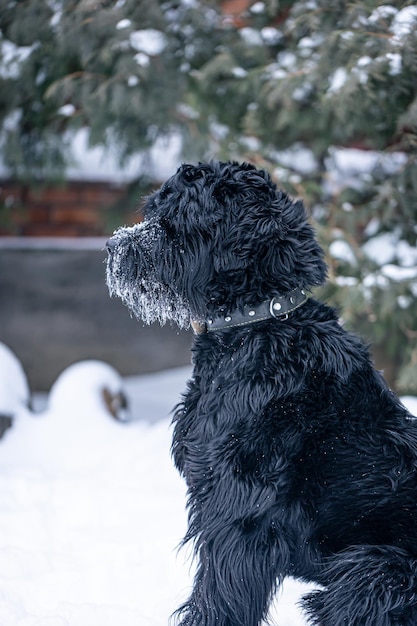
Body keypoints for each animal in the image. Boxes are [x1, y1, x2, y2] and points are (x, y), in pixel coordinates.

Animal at [105, 162, 416, 624]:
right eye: (154, 209)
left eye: (175, 218)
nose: (112, 246)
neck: (257, 324)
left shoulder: (240, 511)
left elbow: (219, 596)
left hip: (375, 573)